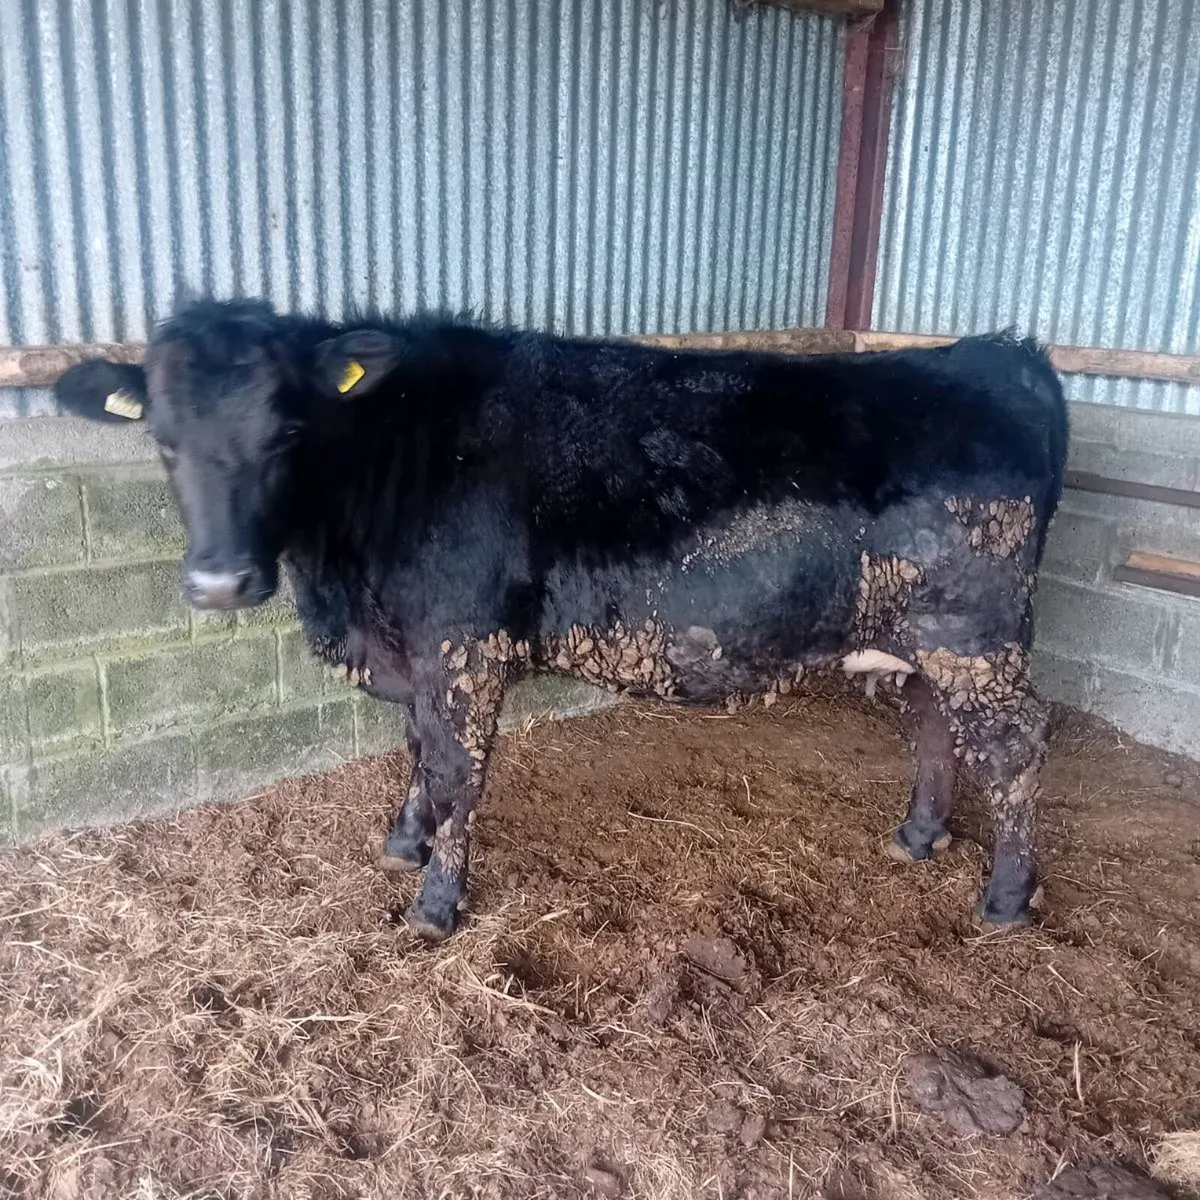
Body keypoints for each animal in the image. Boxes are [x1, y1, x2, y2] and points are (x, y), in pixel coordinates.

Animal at [55, 300, 1068, 942]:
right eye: (163, 438)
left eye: (288, 431)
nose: (220, 582)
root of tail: (994, 352)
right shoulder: (419, 650)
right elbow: (416, 747)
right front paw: (403, 842)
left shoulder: (463, 642)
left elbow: (457, 769)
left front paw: (435, 903)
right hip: (923, 637)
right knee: (934, 724)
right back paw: (920, 834)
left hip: (974, 634)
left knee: (1017, 746)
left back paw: (1007, 897)